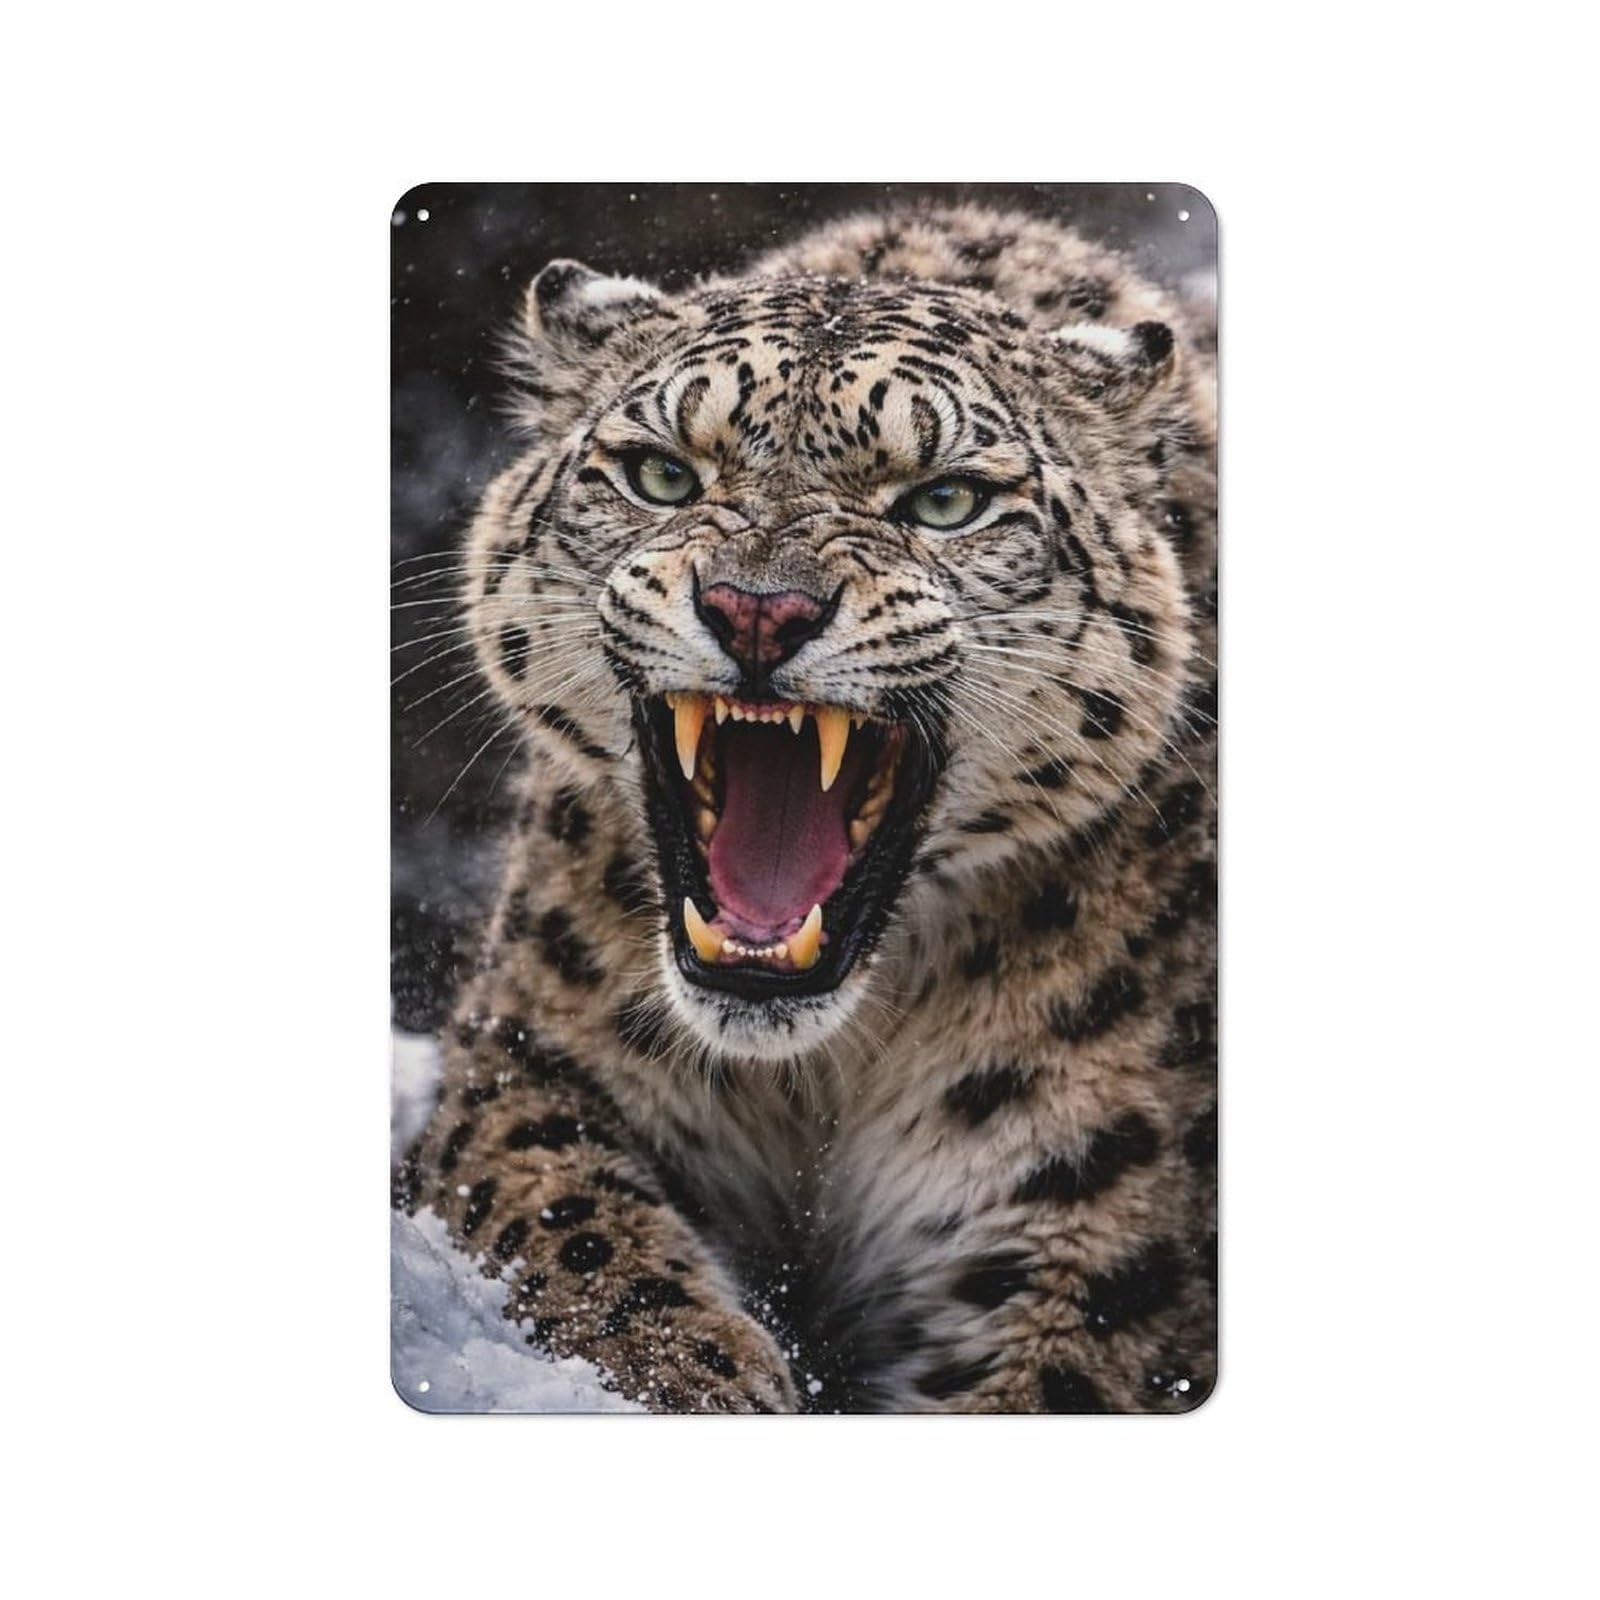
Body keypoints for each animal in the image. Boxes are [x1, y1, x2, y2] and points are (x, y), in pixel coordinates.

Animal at [393, 202, 1217, 1413]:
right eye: (661, 474)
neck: (824, 1078)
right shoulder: (529, 1060)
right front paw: (705, 1382)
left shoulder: (1093, 1201)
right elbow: (572, 1229)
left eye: (946, 499)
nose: (756, 609)